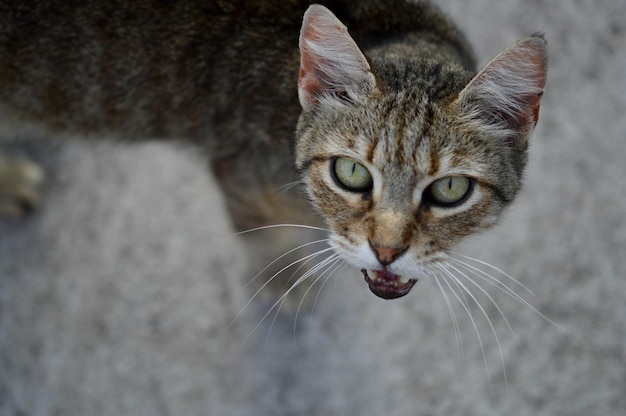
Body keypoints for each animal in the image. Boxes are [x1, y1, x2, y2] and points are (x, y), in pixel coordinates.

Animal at [0, 0, 544, 302]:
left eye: (450, 188)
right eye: (351, 173)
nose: (387, 252)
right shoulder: (240, 175)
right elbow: (264, 238)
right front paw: (283, 277)